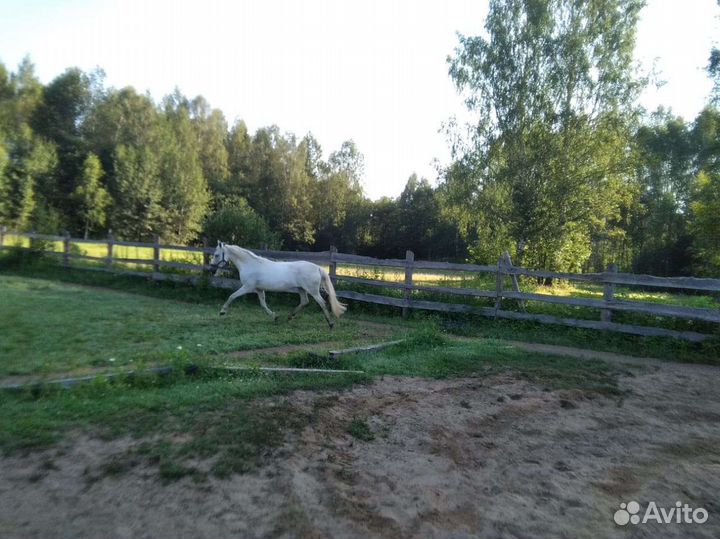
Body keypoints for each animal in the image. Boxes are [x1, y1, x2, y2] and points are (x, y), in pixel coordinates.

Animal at [209, 242, 347, 328]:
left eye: (216, 255)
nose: (211, 268)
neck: (250, 264)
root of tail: (318, 268)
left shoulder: (248, 287)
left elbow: (232, 296)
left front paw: (222, 312)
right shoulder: (259, 290)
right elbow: (263, 305)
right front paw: (274, 317)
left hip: (313, 291)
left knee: (322, 303)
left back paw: (330, 323)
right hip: (301, 289)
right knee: (304, 302)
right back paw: (290, 317)